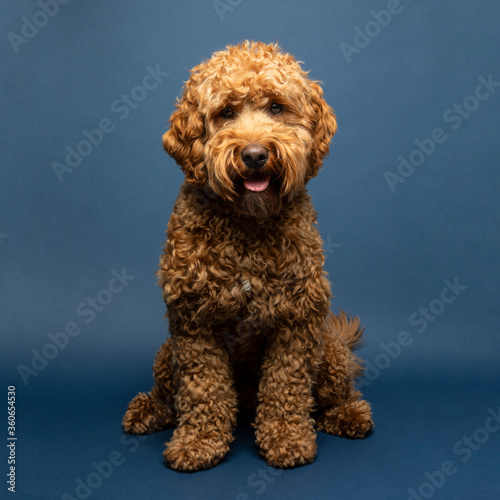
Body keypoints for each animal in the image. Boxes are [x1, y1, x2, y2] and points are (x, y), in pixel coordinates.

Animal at [122, 41, 372, 470]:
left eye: (276, 107)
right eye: (225, 113)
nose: (255, 155)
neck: (248, 224)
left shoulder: (298, 318)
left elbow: (286, 385)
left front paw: (287, 437)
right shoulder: (193, 322)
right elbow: (203, 388)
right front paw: (199, 441)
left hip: (328, 350)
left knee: (335, 390)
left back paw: (347, 413)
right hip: (167, 352)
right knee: (169, 391)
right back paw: (150, 409)